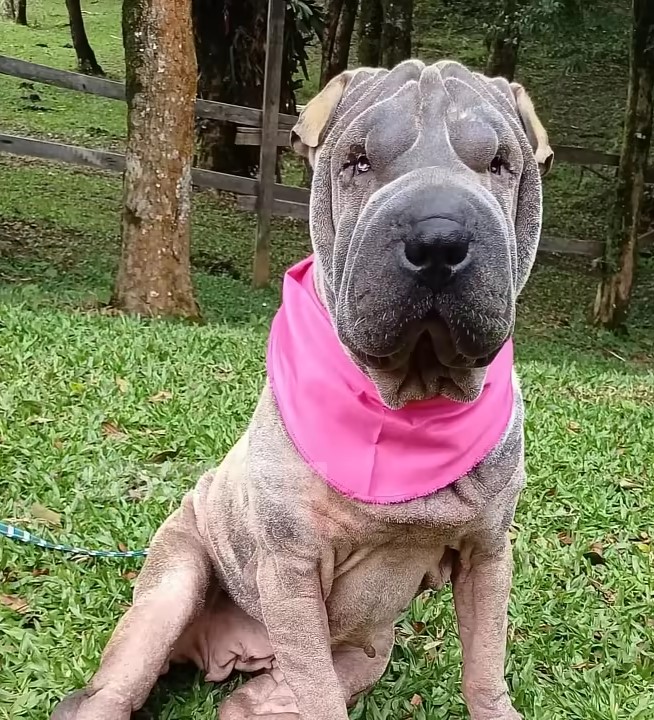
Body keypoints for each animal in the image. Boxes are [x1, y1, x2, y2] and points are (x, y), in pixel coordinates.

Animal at [50, 60, 552, 720]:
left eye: (498, 163)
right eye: (358, 162)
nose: (438, 236)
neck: (407, 401)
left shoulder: (488, 554)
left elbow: (485, 667)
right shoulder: (291, 567)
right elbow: (319, 691)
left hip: (363, 654)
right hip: (173, 583)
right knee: (114, 685)